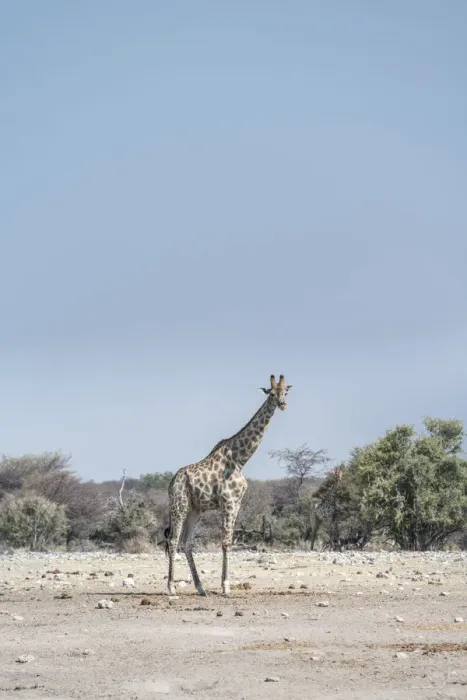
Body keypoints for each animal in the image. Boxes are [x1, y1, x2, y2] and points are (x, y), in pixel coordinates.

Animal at [164, 374, 292, 596]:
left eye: (285, 392)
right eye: (272, 394)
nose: (282, 404)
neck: (240, 459)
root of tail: (172, 482)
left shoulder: (237, 503)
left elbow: (229, 542)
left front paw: (223, 585)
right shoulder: (228, 502)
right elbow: (225, 542)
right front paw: (225, 586)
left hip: (194, 509)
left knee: (186, 543)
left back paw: (201, 588)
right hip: (179, 505)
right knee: (172, 540)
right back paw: (171, 587)